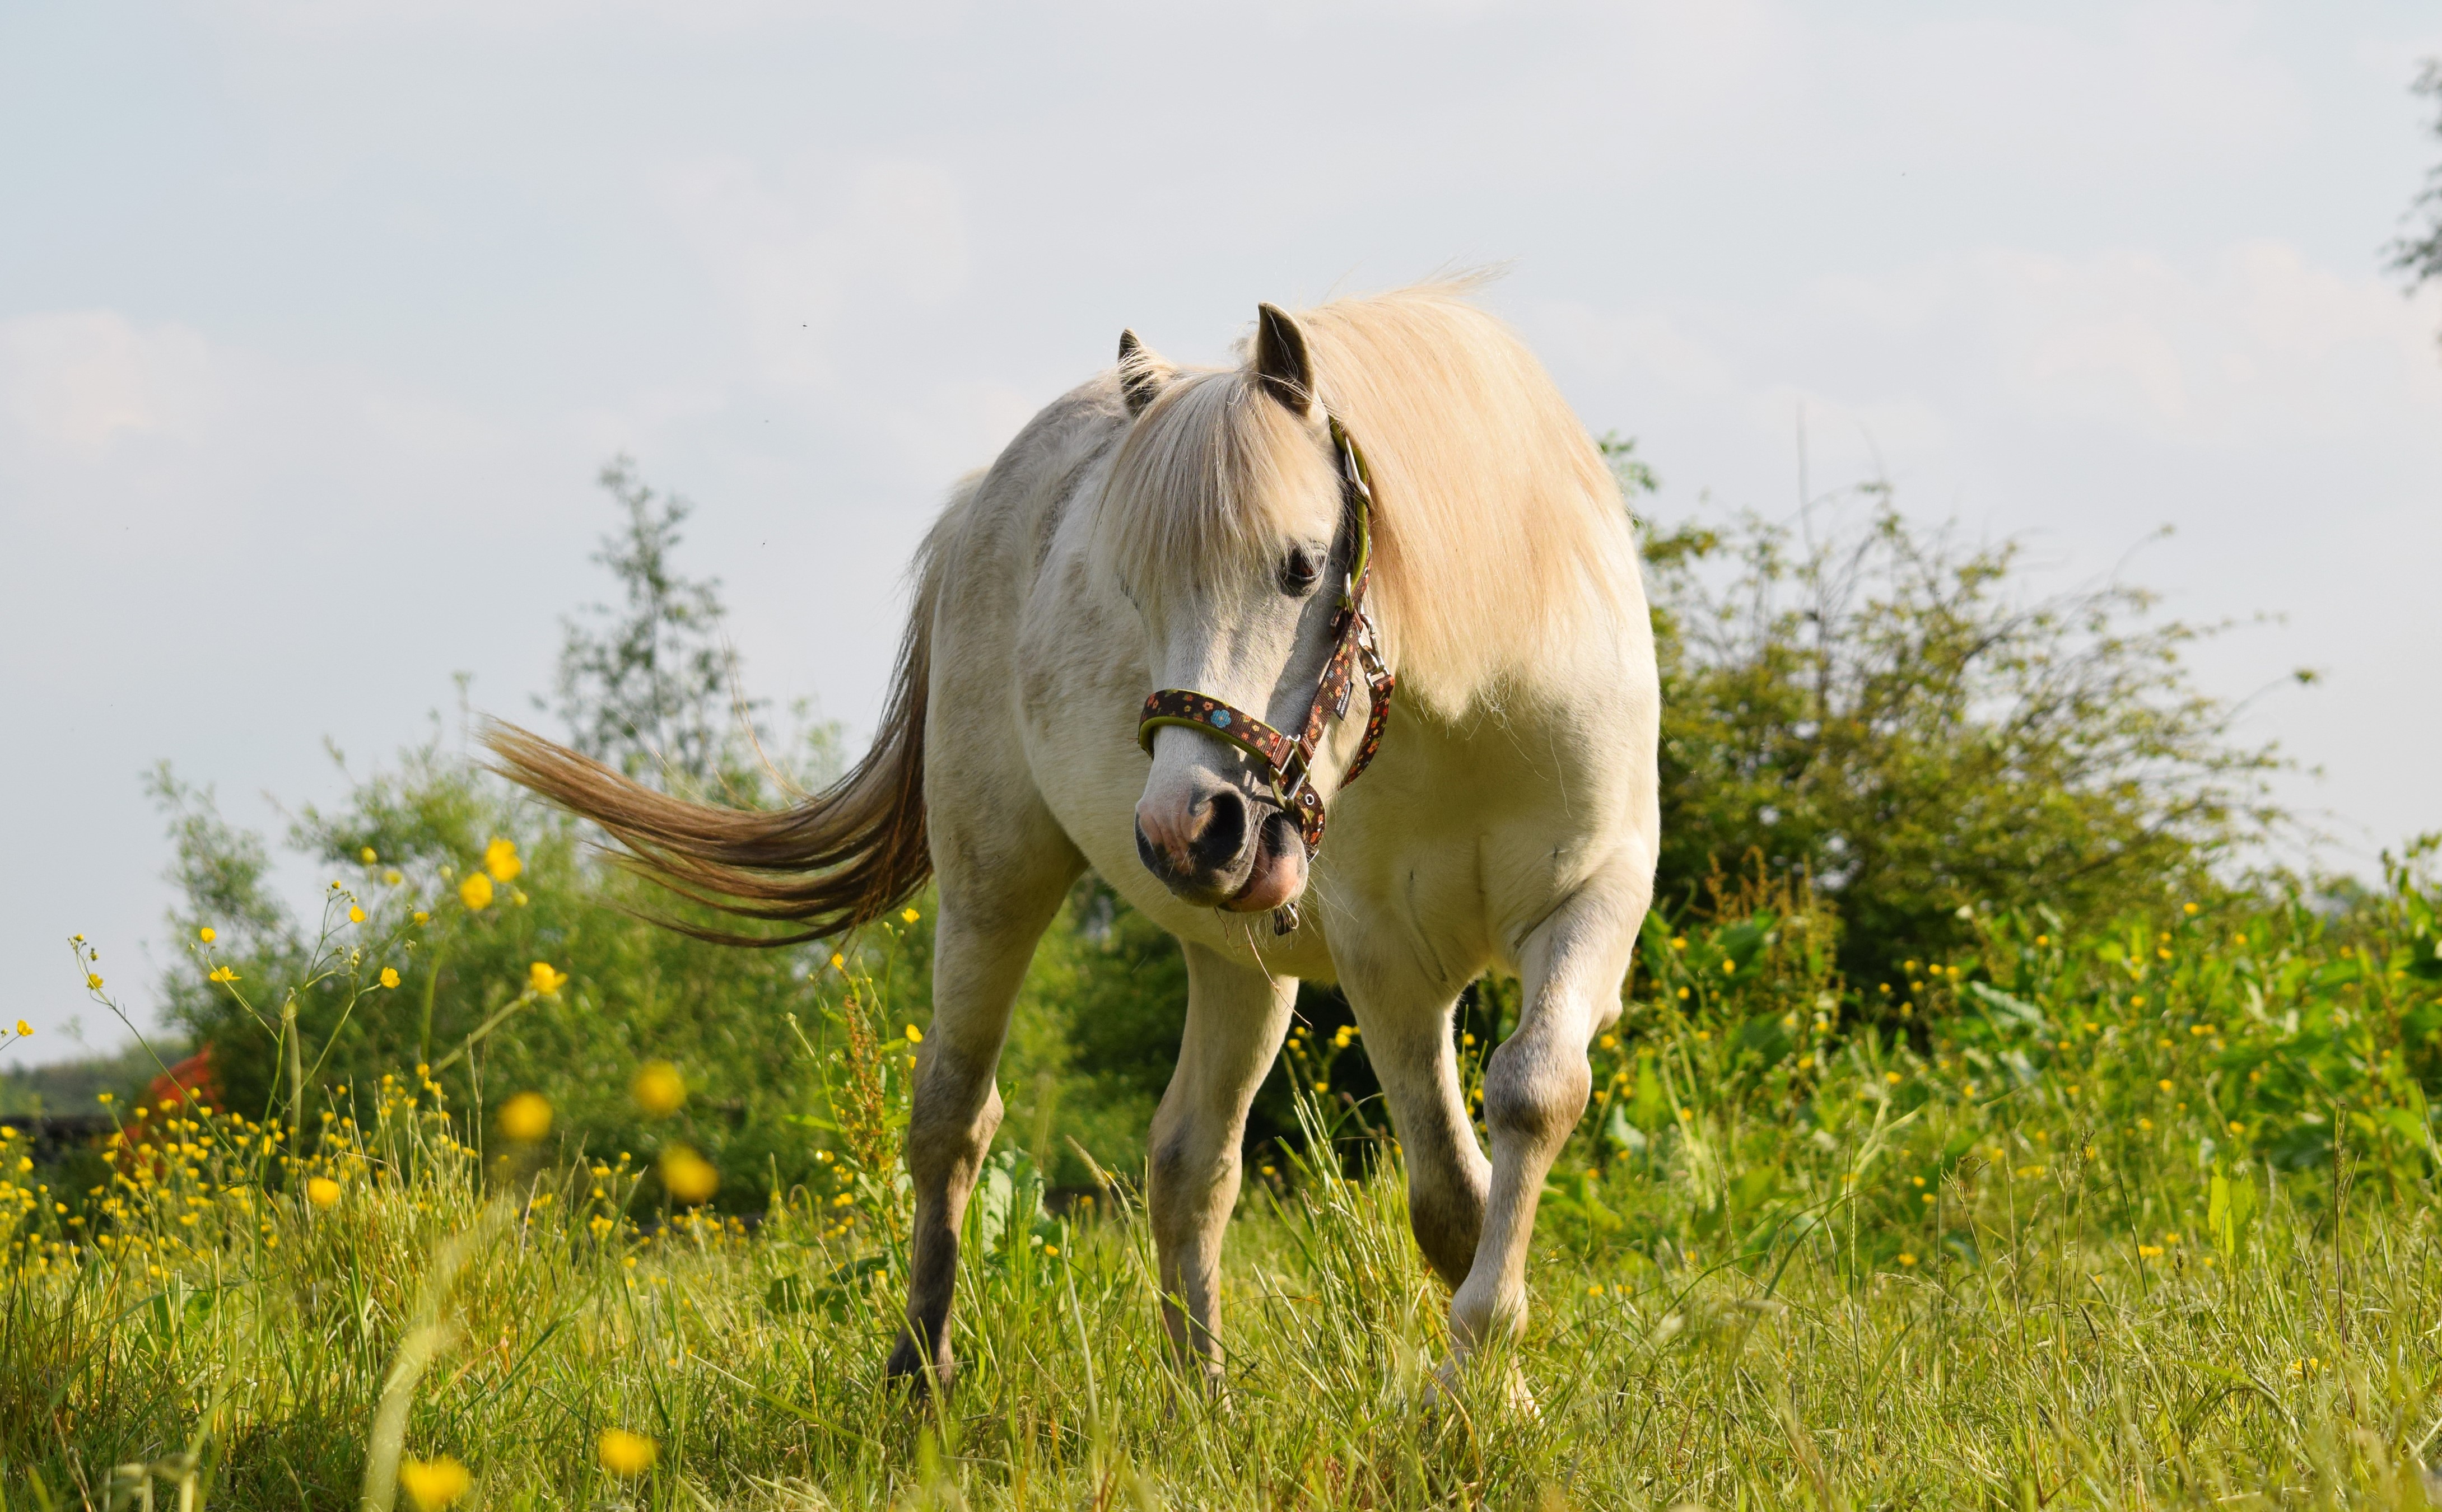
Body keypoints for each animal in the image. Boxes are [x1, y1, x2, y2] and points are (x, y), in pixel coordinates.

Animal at [485, 281, 1660, 1399]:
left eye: (1299, 565)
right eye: (1131, 586)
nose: (1194, 827)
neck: (1477, 703)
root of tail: (983, 501)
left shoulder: (1596, 903)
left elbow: (1533, 1095)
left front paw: (1489, 1388)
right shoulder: (1388, 960)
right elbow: (1451, 1200)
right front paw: (1478, 1400)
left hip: (1241, 961)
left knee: (1190, 1162)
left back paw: (1204, 1399)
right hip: (996, 883)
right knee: (955, 1119)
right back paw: (922, 1372)